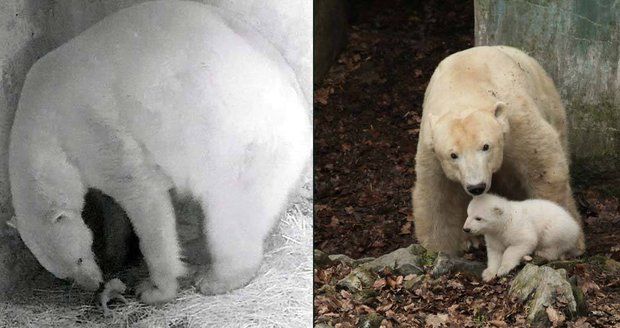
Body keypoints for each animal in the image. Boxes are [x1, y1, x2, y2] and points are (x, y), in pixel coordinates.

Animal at [8, 1, 308, 304]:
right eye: (65, 274)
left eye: (79, 259)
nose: (95, 283)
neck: (40, 124)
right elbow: (110, 204)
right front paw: (115, 254)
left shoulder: (93, 129)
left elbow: (141, 195)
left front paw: (154, 289)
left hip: (241, 146)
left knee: (231, 212)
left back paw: (216, 279)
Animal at [414, 46, 584, 255]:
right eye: (453, 155)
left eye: (486, 146)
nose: (476, 187)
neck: (463, 90)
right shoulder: (431, 145)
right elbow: (437, 196)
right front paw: (441, 248)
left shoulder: (515, 124)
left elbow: (544, 170)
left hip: (549, 101)